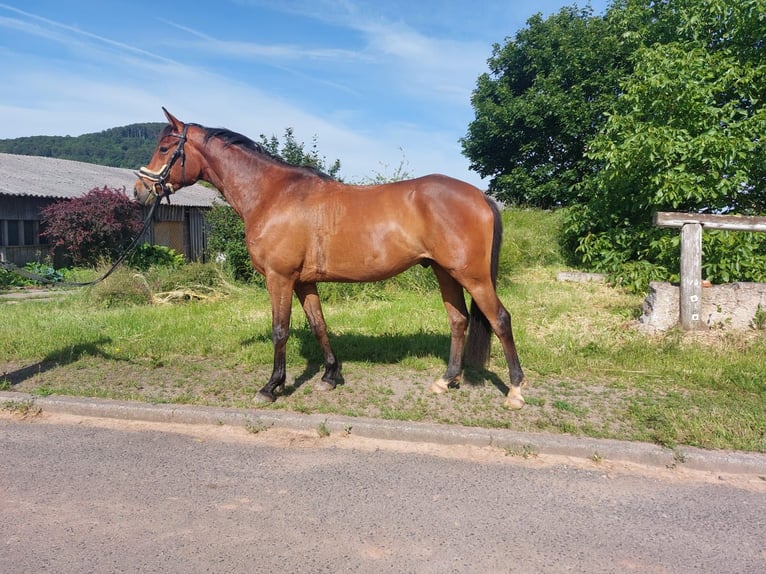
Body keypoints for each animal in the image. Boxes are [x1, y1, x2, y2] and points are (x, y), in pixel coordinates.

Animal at [134, 108, 525, 409]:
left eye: (165, 147)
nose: (140, 191)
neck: (272, 194)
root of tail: (480, 195)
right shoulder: (304, 281)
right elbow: (319, 325)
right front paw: (330, 376)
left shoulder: (279, 277)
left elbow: (280, 330)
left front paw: (272, 387)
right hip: (446, 273)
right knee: (458, 321)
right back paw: (446, 380)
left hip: (473, 276)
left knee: (500, 319)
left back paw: (516, 391)